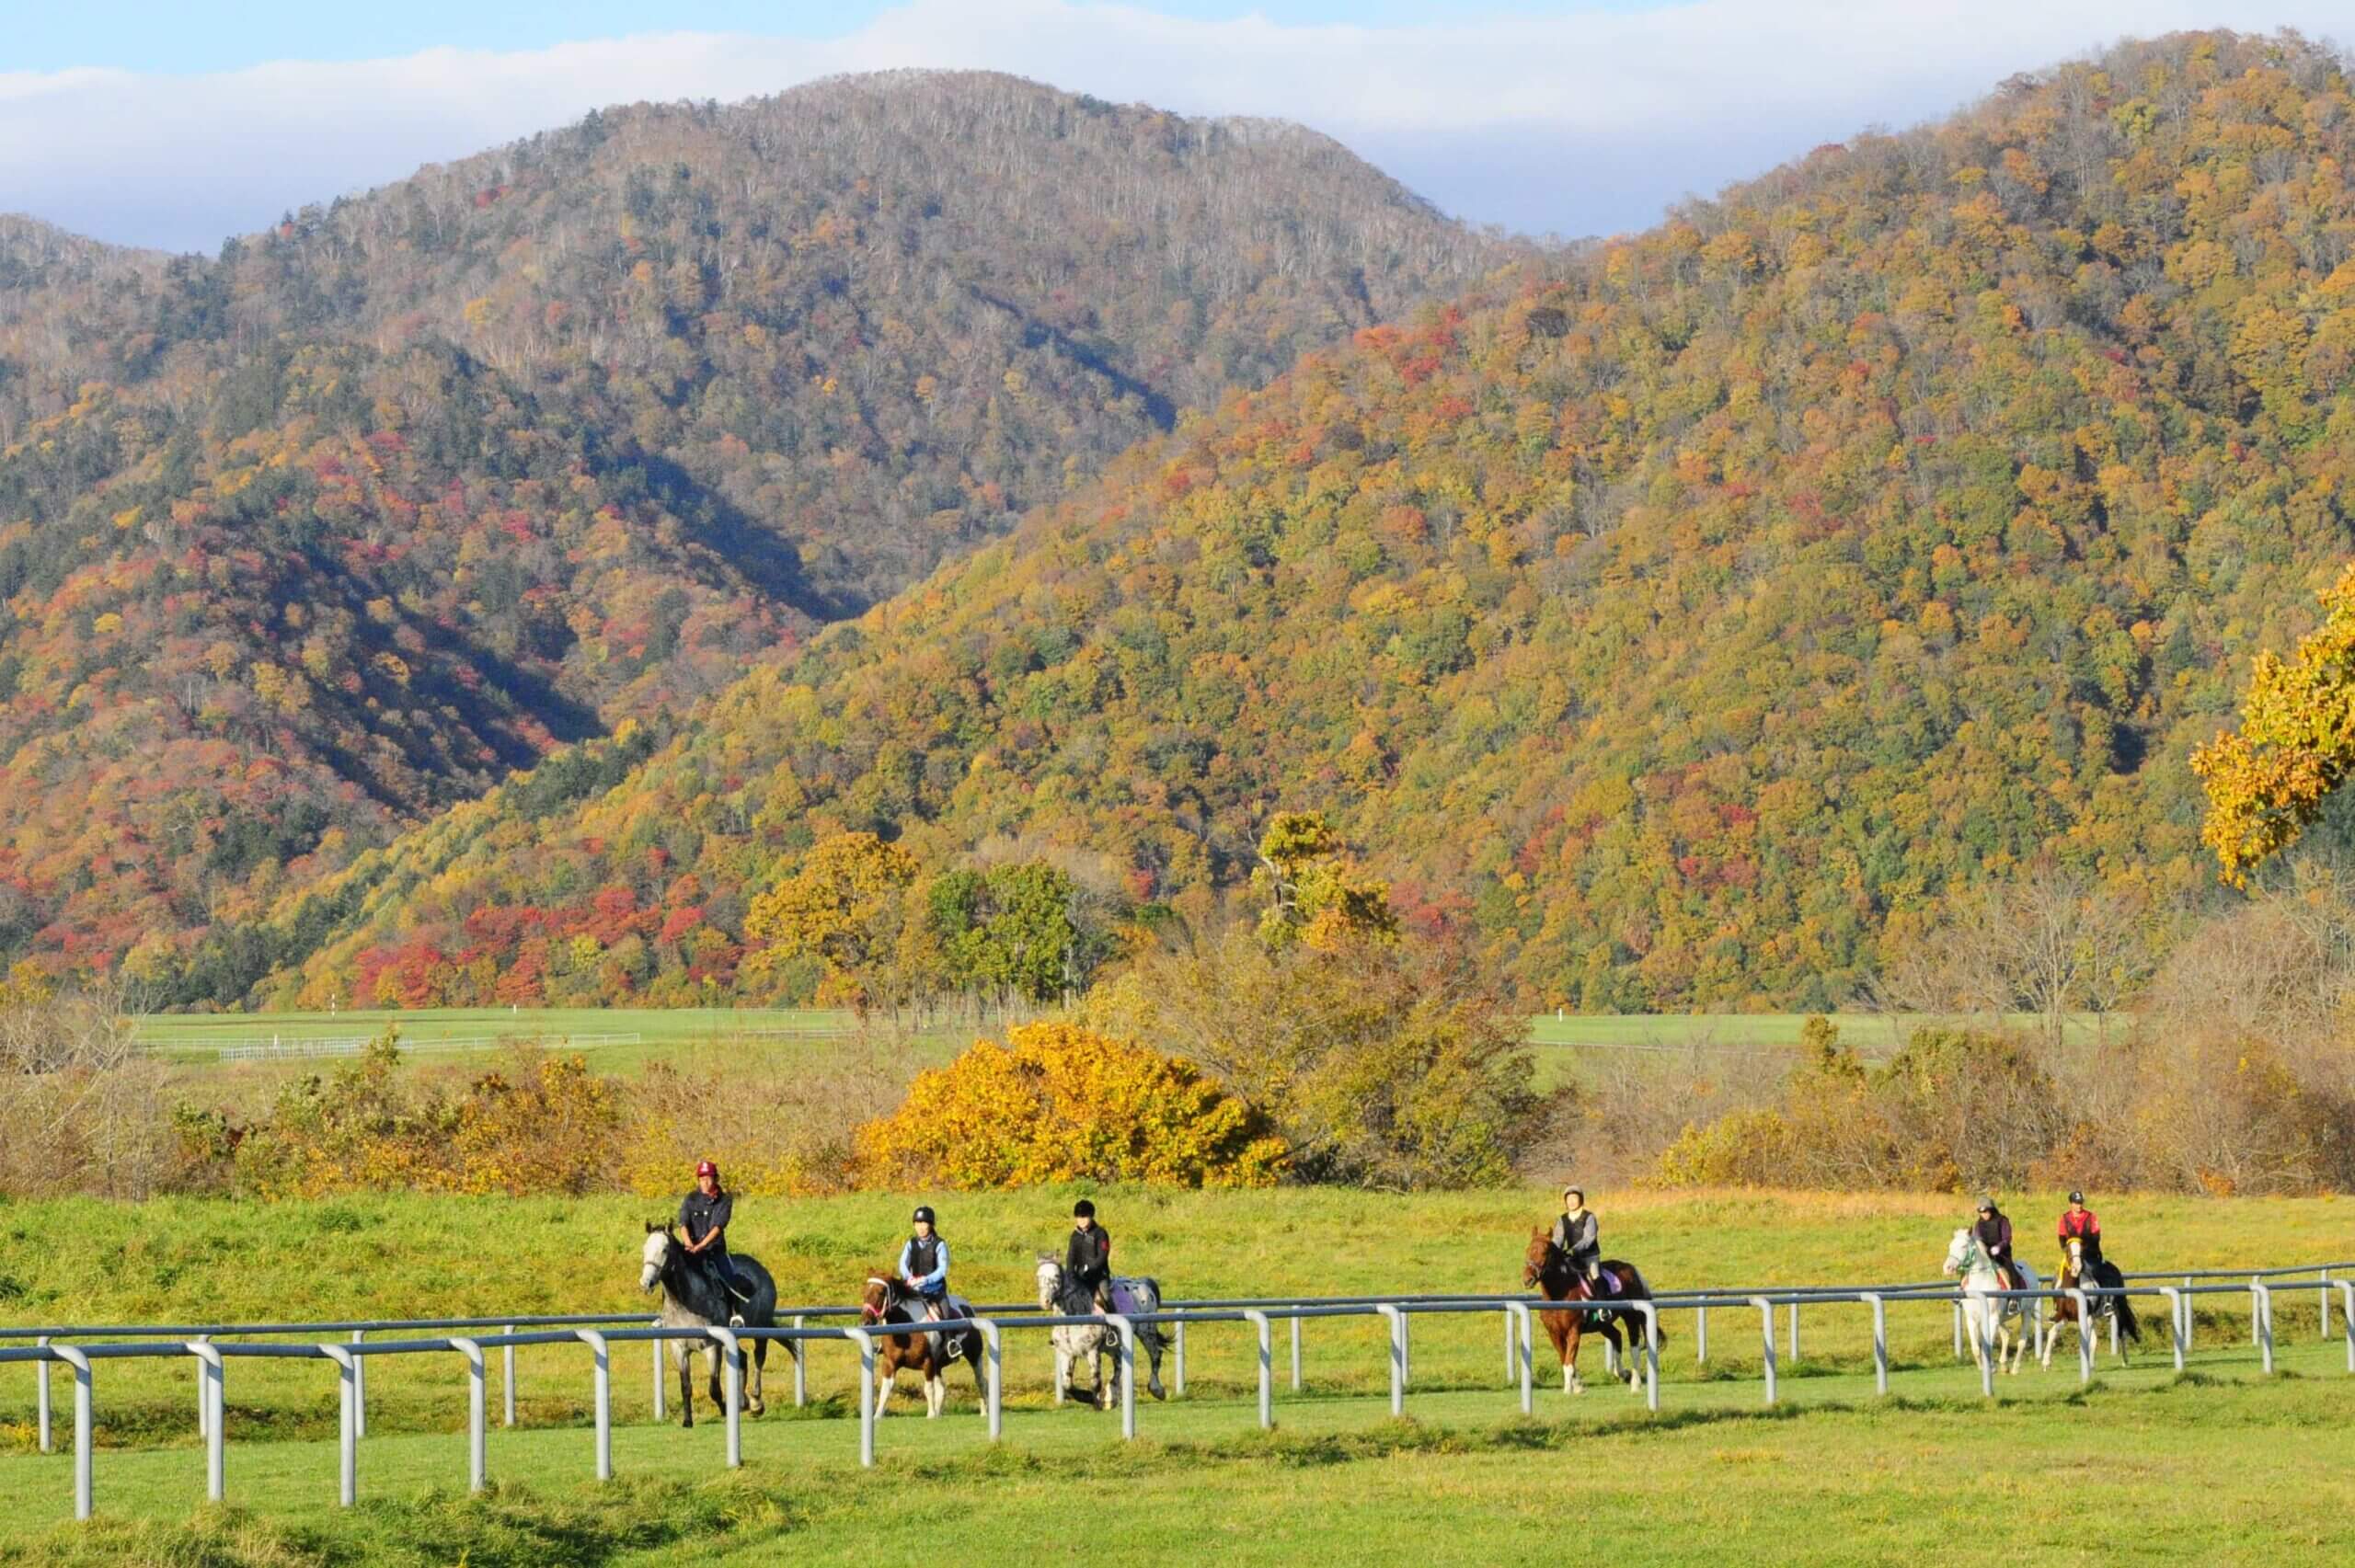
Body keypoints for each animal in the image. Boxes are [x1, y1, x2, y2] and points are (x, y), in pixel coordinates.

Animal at [856, 1262, 984, 1413]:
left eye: (881, 1292)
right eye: (865, 1292)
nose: (866, 1322)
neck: (906, 1331)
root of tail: (968, 1306)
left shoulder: (927, 1362)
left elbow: (928, 1390)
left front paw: (931, 1414)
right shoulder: (890, 1363)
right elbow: (885, 1391)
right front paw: (877, 1415)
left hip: (974, 1356)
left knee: (981, 1381)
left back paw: (984, 1412)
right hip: (938, 1365)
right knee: (942, 1389)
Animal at [1036, 1252, 1172, 1393]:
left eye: (1057, 1276)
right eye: (1038, 1276)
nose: (1045, 1301)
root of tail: (1144, 1283)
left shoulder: (1093, 1351)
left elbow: (1095, 1385)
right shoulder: (1068, 1353)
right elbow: (1067, 1384)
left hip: (1146, 1331)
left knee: (1155, 1354)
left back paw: (1156, 1389)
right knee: (1119, 1363)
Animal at [1516, 1224, 1667, 1393]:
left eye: (1544, 1252)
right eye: (1528, 1250)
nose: (1527, 1280)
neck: (1559, 1294)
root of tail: (1632, 1270)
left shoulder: (1574, 1331)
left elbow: (1569, 1361)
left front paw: (1569, 1389)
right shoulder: (1554, 1333)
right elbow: (1564, 1359)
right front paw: (1578, 1385)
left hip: (1631, 1316)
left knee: (1634, 1345)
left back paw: (1635, 1383)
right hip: (1603, 1324)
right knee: (1616, 1336)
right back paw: (1622, 1372)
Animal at [1949, 1224, 2044, 1365]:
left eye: (1964, 1246)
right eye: (1950, 1246)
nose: (1947, 1268)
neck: (1980, 1282)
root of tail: (2029, 1269)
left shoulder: (1992, 1318)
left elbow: (1988, 1345)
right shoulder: (1971, 1319)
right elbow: (1976, 1348)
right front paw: (1982, 1367)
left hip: (2026, 1312)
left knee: (2022, 1341)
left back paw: (2015, 1365)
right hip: (2002, 1317)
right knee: (2006, 1334)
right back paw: (2003, 1361)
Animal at [2034, 1224, 2147, 1365]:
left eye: (2082, 1249)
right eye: (2068, 1250)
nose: (2076, 1268)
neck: (2073, 1287)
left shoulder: (2086, 1316)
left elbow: (2087, 1341)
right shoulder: (2064, 1317)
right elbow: (2053, 1333)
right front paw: (2045, 1362)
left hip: (2115, 1309)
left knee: (2121, 1331)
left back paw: (2125, 1360)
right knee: (2096, 1338)